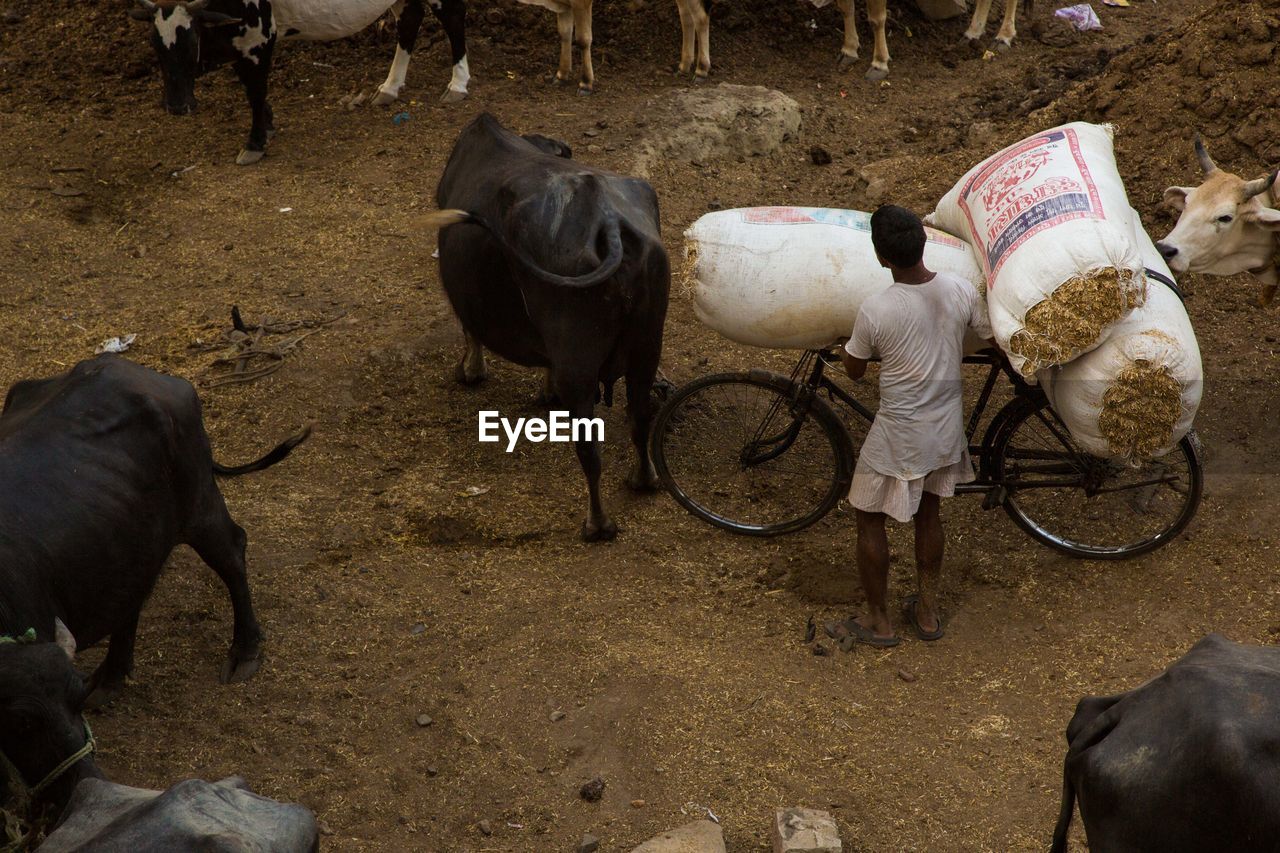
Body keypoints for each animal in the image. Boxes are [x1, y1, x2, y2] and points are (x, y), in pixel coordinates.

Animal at [128, 0, 471, 163]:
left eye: (190, 43)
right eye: (155, 46)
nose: (177, 106)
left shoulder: (259, 35)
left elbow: (255, 90)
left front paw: (255, 142)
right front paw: (267, 125)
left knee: (453, 17)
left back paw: (458, 83)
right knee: (410, 20)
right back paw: (390, 86)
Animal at [427, 114, 675, 537]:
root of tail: (609, 223)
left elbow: (470, 330)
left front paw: (471, 371)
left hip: (578, 357)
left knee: (589, 447)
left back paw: (597, 523)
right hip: (647, 347)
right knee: (640, 415)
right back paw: (643, 479)